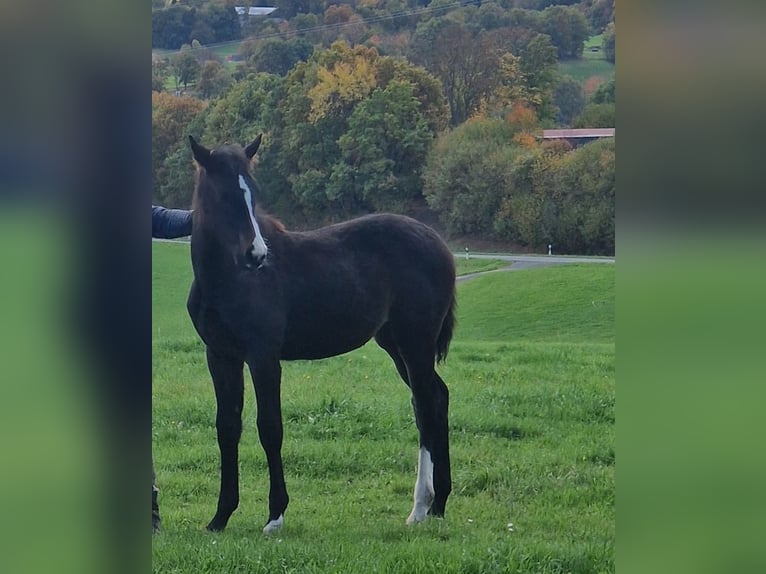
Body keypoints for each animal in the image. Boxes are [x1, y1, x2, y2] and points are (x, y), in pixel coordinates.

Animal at [186, 135, 456, 533]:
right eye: (223, 194)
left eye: (254, 191)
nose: (257, 254)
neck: (226, 281)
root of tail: (439, 243)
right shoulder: (220, 356)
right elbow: (227, 428)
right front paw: (220, 516)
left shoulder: (264, 357)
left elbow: (270, 428)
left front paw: (275, 515)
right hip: (394, 343)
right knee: (437, 397)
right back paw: (439, 503)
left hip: (415, 341)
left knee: (425, 405)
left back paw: (420, 507)